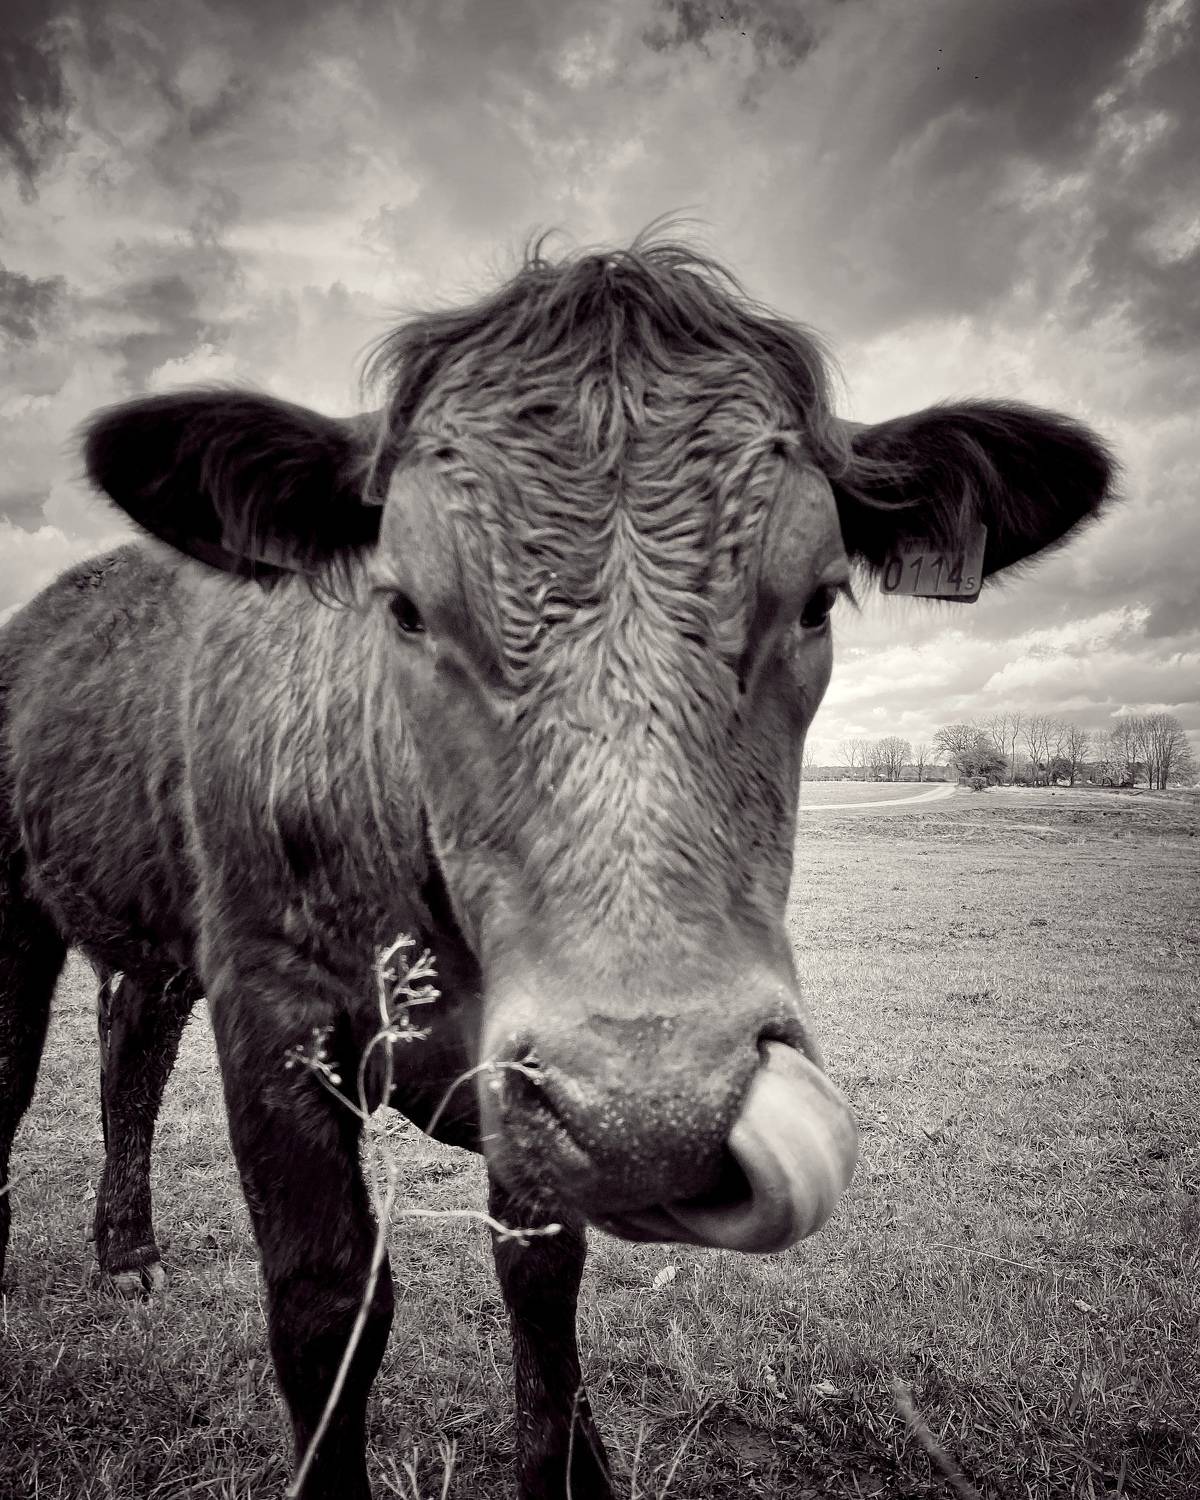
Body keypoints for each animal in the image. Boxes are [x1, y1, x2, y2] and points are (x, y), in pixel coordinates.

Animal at [0, 237, 1114, 1499]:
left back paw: (127, 1252)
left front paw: (571, 1466)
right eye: (403, 604)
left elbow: (542, 1285)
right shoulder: (270, 1007)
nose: (651, 1115)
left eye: (819, 599)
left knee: (128, 1059)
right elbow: (326, 1305)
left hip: (147, 946)